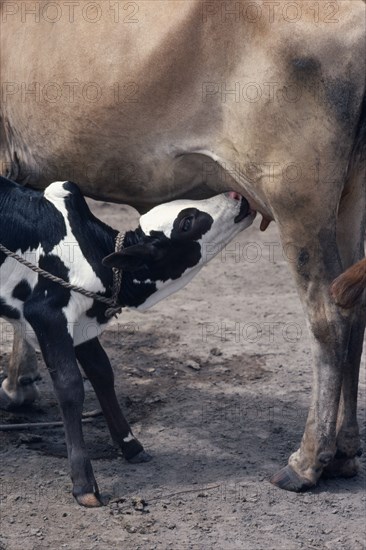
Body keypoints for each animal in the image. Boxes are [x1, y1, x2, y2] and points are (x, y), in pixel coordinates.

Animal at [0, 178, 254, 508]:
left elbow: (102, 373)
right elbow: (70, 387)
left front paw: (130, 445)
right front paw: (84, 485)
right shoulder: (48, 315)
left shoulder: (83, 323)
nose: (236, 194)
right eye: (186, 222)